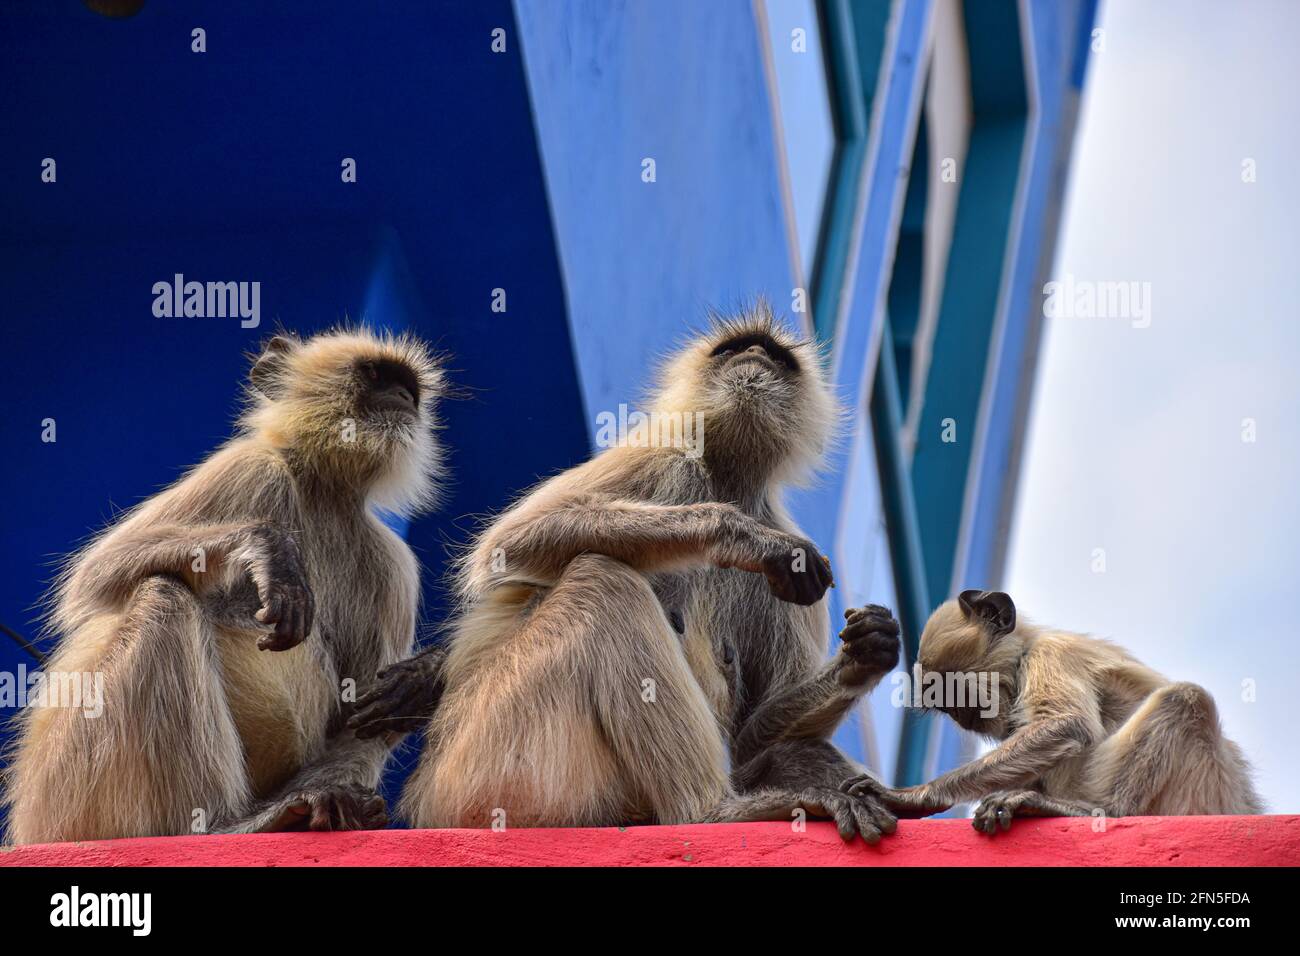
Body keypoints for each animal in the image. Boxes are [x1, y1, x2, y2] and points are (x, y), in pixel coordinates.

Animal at [2, 327, 445, 844]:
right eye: (376, 375)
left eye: (410, 388)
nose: (403, 399)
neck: (323, 490)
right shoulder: (247, 467)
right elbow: (92, 578)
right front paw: (264, 546)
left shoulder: (392, 568)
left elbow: (360, 717)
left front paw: (425, 677)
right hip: (67, 783)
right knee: (162, 593)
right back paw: (219, 825)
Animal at [349, 302, 903, 842]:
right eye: (735, 349)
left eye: (775, 356)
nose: (753, 356)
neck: (726, 476)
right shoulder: (663, 458)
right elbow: (509, 543)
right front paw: (739, 535)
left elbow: (753, 736)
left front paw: (869, 650)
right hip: (486, 759)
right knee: (602, 580)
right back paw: (712, 813)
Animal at [843, 590, 1264, 834]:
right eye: (948, 706)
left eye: (958, 693)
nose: (961, 716)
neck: (1026, 648)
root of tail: (1242, 801)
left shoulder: (1052, 653)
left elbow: (1068, 726)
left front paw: (913, 798)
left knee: (1185, 698)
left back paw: (1103, 812)